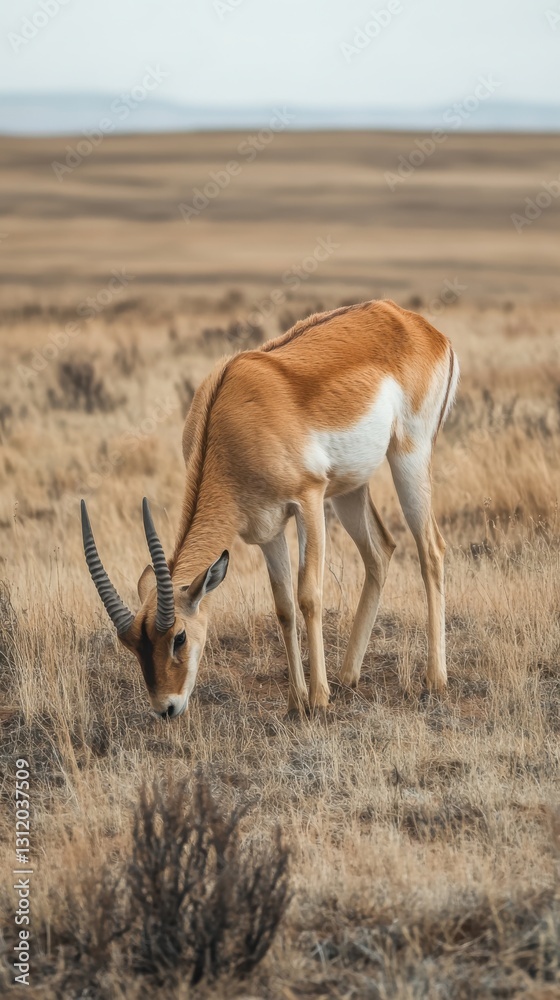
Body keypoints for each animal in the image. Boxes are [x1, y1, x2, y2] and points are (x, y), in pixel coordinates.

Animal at [81, 299, 458, 718]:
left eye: (178, 636)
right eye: (133, 643)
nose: (167, 707)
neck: (230, 418)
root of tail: (408, 319)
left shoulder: (308, 501)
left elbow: (308, 595)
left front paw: (318, 699)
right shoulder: (267, 528)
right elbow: (283, 606)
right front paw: (296, 702)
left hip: (407, 459)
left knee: (431, 549)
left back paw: (434, 680)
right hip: (350, 488)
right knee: (380, 551)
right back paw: (348, 676)